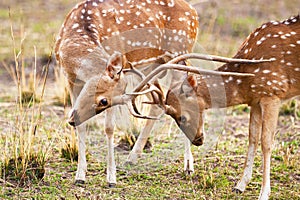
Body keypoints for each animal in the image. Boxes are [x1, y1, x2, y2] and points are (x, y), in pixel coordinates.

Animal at [141, 15, 300, 198]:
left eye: (182, 117)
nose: (197, 141)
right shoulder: (255, 101)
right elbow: (252, 138)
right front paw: (240, 185)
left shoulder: (273, 91)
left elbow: (266, 142)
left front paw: (264, 194)